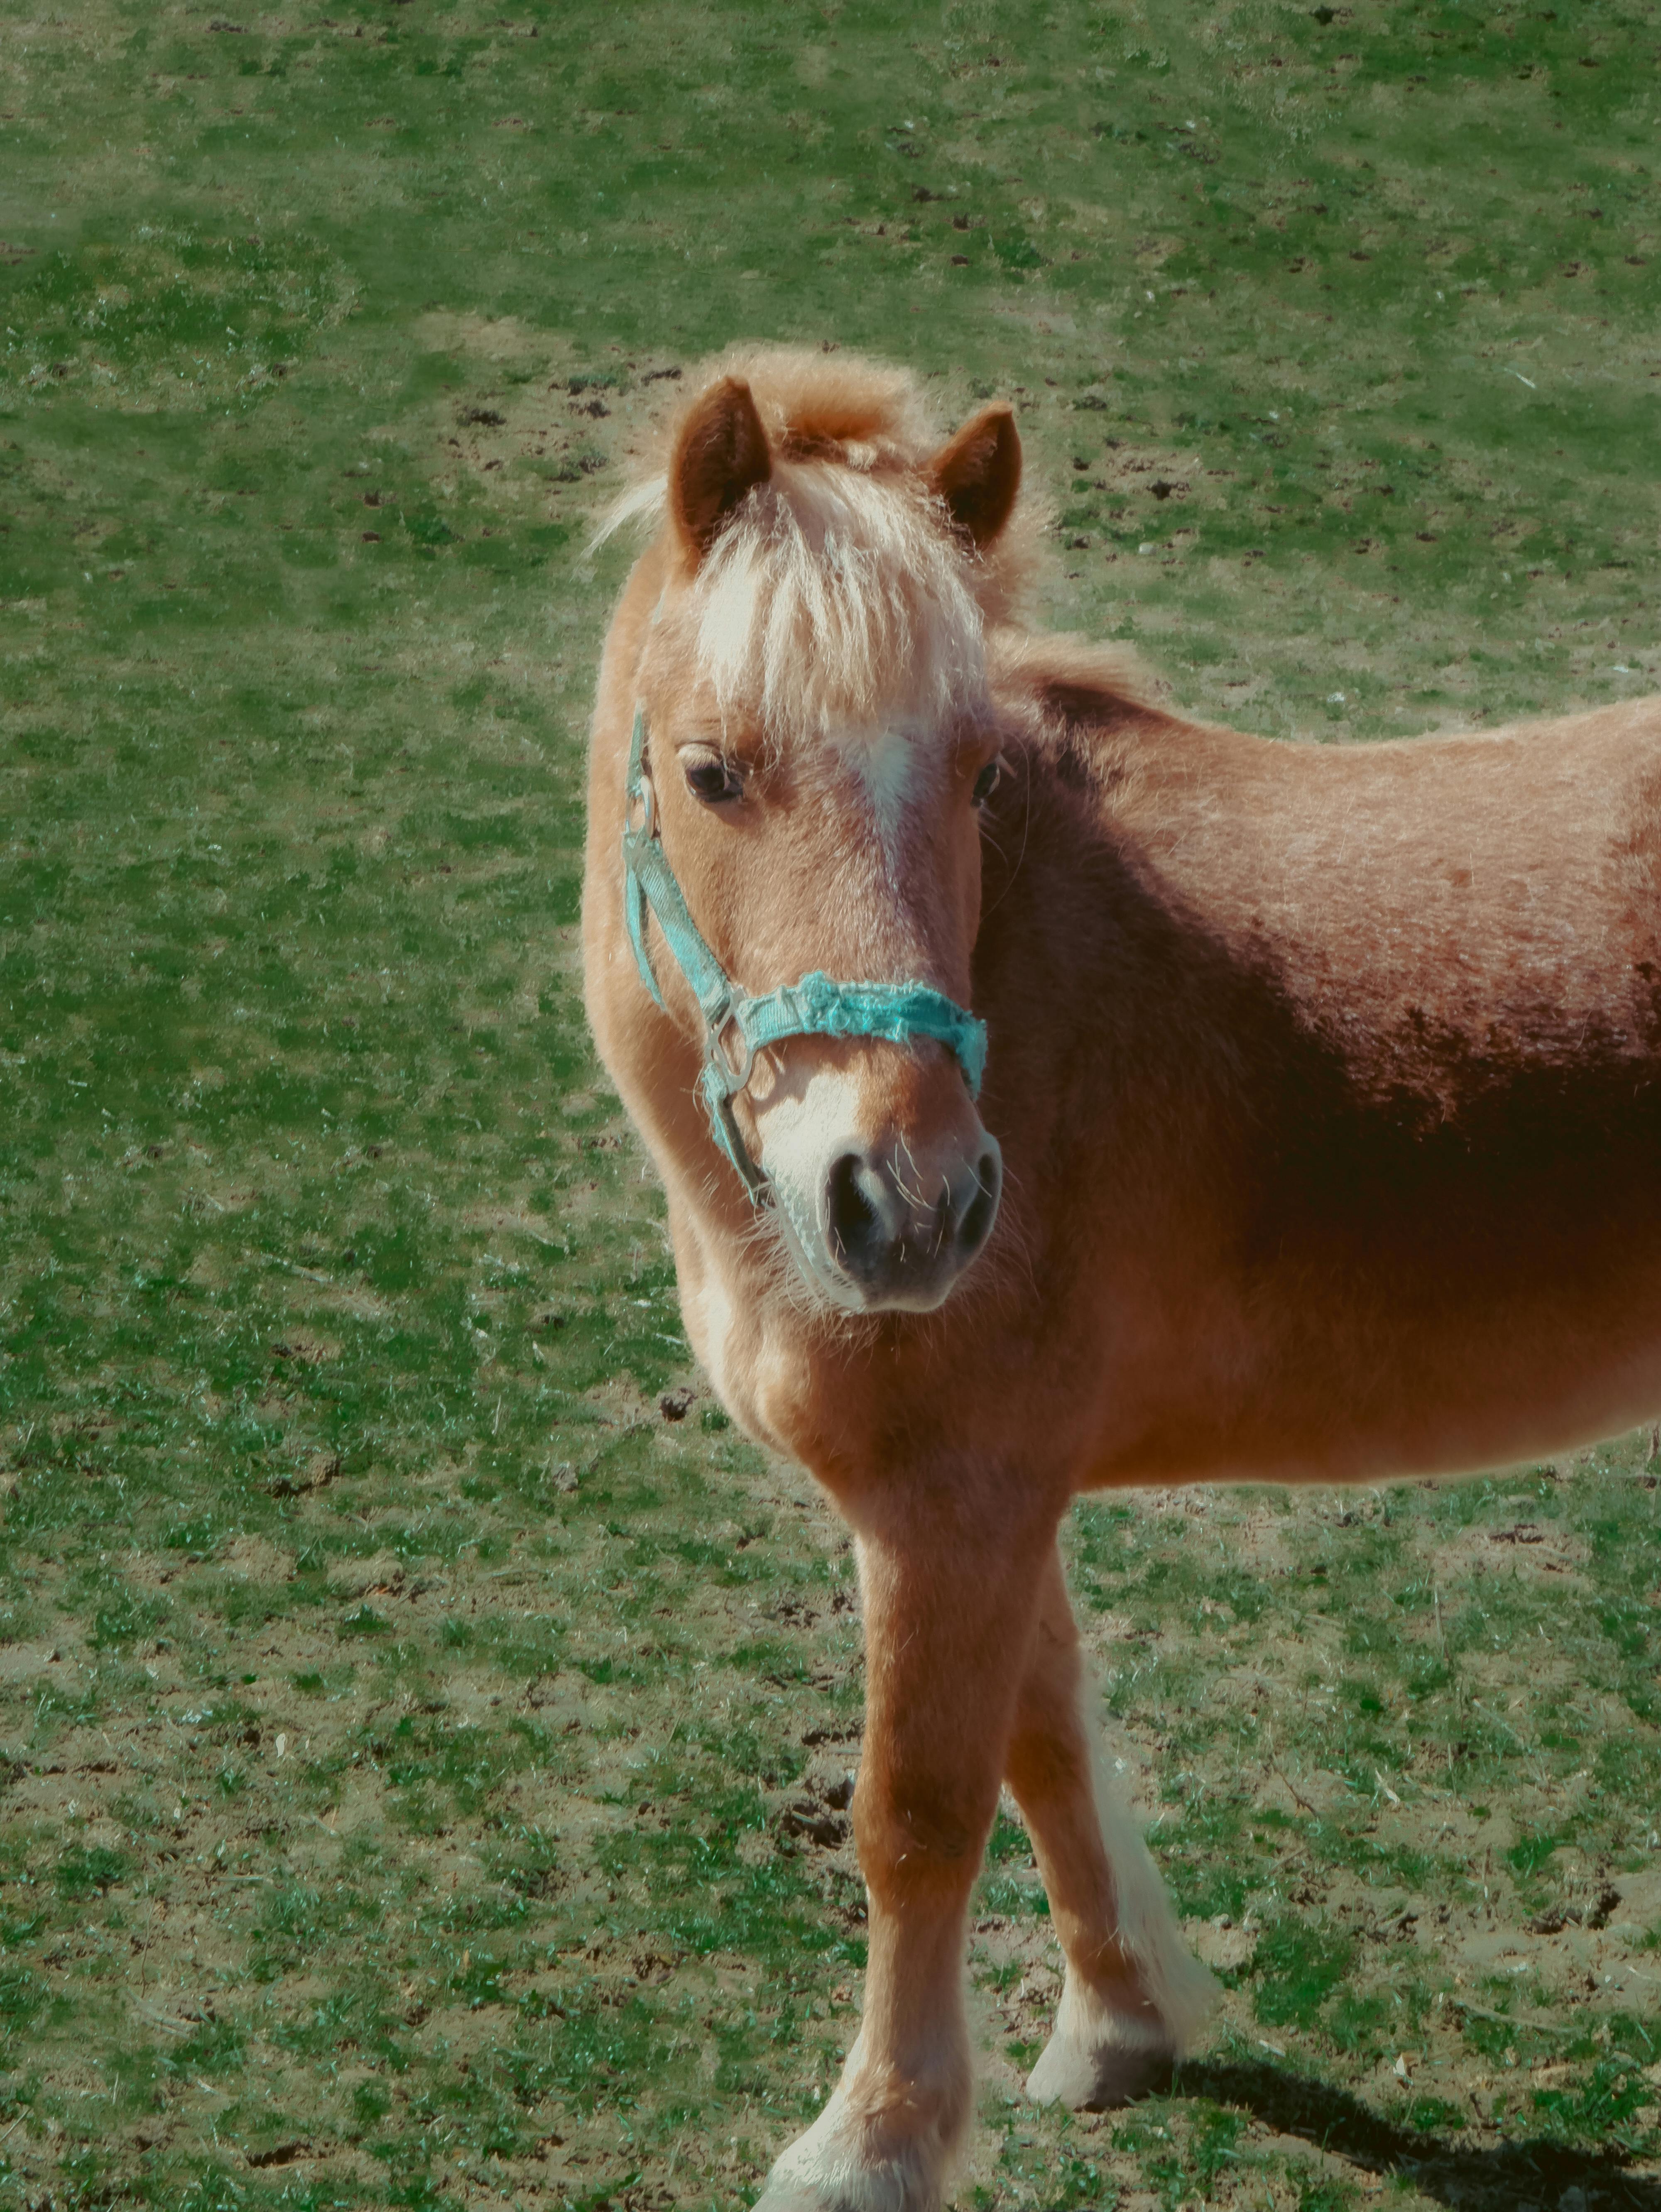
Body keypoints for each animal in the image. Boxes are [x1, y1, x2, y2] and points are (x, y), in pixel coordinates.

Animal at [579, 349, 1661, 2212]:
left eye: (976, 780)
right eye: (711, 771)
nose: (913, 1204)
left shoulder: (952, 1503)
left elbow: (920, 1813)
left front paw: (873, 2140)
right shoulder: (987, 1504)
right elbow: (1045, 1744)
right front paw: (1119, 2024)